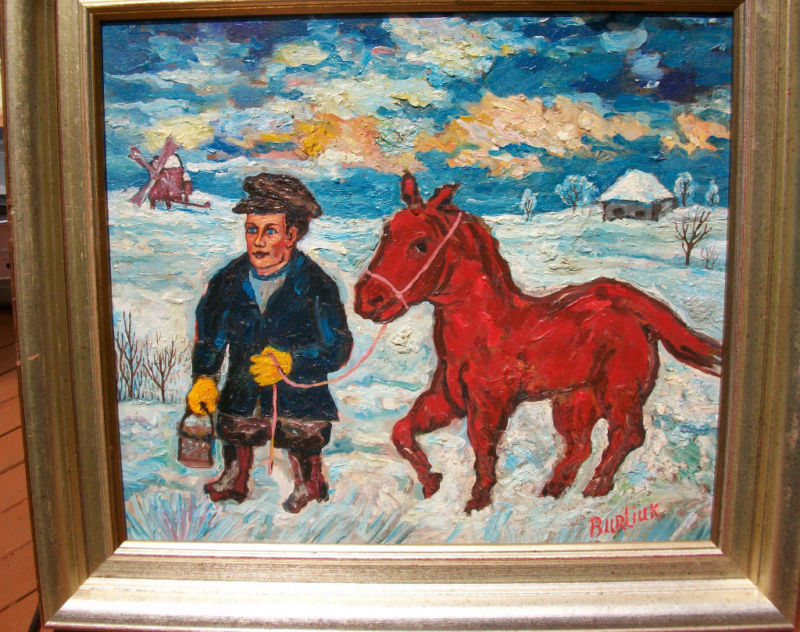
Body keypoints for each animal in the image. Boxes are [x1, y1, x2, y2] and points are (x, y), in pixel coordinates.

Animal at [354, 173, 722, 514]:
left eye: (422, 244)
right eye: (386, 233)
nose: (367, 301)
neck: (485, 329)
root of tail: (629, 302)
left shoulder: (489, 407)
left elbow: (483, 452)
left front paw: (477, 505)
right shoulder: (446, 401)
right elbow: (401, 432)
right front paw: (431, 481)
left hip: (619, 392)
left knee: (626, 434)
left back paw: (596, 489)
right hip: (574, 402)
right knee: (580, 446)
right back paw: (553, 490)